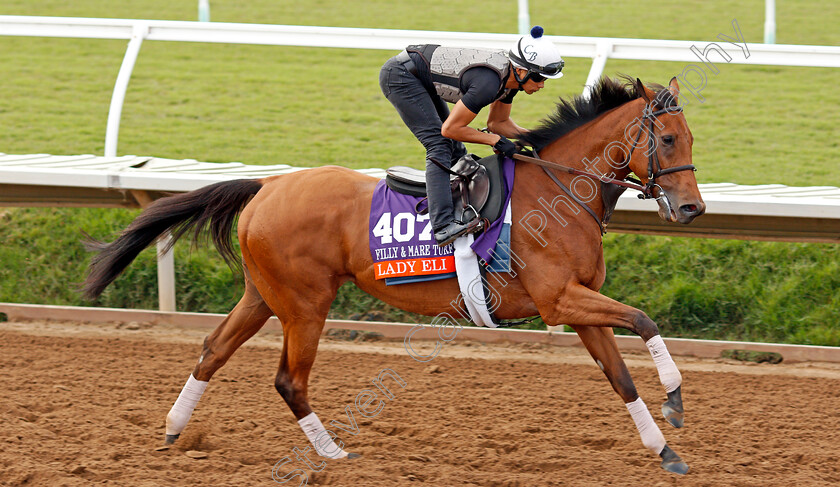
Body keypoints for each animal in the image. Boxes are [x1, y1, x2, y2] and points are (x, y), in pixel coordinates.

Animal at [83, 77, 704, 476]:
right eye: (667, 139)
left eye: (693, 138)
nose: (692, 209)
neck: (561, 192)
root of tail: (267, 184)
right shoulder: (560, 301)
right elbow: (644, 320)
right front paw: (675, 399)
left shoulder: (578, 305)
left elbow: (621, 378)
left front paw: (665, 451)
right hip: (305, 304)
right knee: (289, 380)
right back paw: (333, 455)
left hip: (262, 295)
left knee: (213, 350)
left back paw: (174, 429)